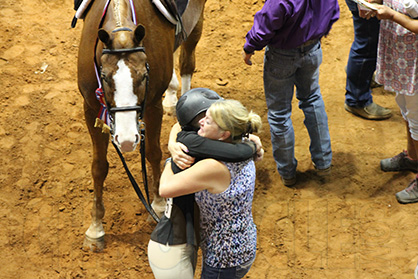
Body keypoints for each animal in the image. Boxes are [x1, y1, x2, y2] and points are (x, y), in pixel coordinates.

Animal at [77, 0, 206, 252]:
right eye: (104, 76)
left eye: (144, 75)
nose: (127, 140)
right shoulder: (90, 107)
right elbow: (99, 167)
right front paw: (95, 228)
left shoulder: (152, 103)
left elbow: (153, 153)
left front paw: (157, 205)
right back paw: (172, 96)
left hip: (197, 22)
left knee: (187, 59)